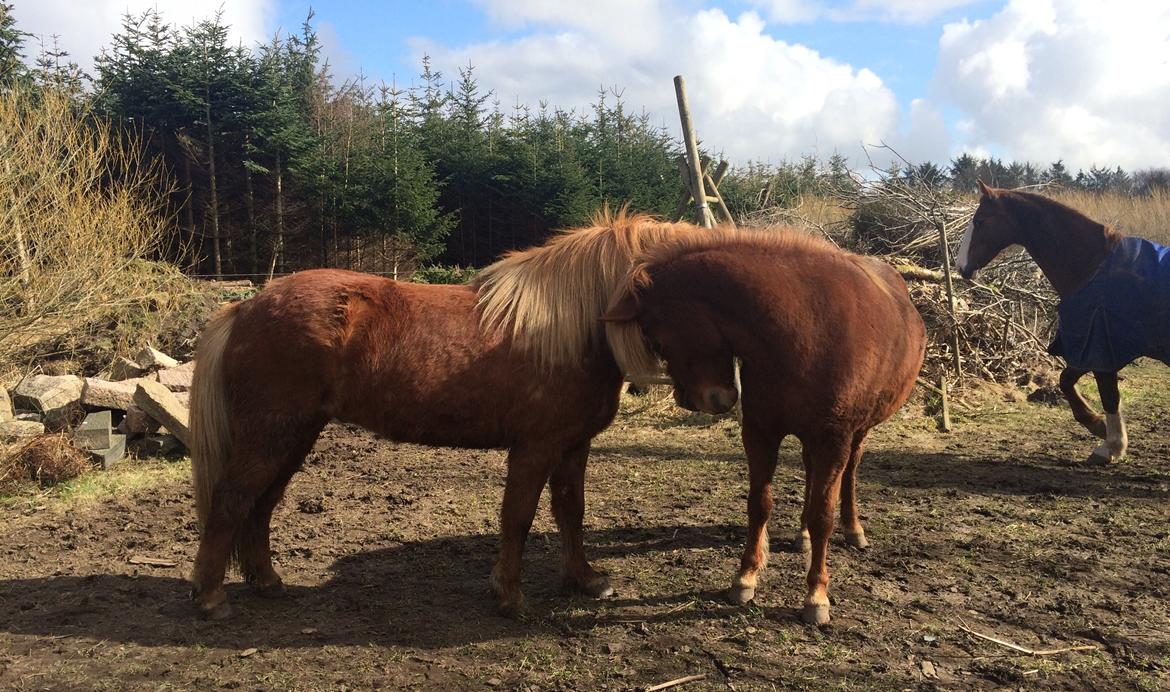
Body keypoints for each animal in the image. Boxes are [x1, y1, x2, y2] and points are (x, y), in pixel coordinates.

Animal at [189, 209, 702, 618]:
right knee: (232, 499)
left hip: (294, 437)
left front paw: (586, 580)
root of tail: (244, 308)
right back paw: (212, 598)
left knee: (261, 504)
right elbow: (518, 517)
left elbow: (570, 512)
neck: (566, 330)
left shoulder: (574, 445)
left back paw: (267, 581)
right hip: (270, 435)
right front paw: (509, 596)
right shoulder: (534, 449)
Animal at [603, 228, 921, 627]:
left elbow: (823, 515)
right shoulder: (760, 432)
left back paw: (853, 529)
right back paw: (802, 535)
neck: (805, 330)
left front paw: (816, 595)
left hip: (856, 433)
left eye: (657, 338)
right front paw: (745, 578)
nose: (694, 401)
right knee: (810, 475)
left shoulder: (833, 440)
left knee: (849, 473)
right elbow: (760, 504)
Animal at [954, 182, 1165, 466]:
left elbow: (1107, 395)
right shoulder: (1089, 350)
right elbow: (1067, 381)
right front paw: (1099, 427)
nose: (960, 266)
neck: (1092, 266)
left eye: (980, 220)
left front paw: (1109, 442)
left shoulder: (1098, 347)